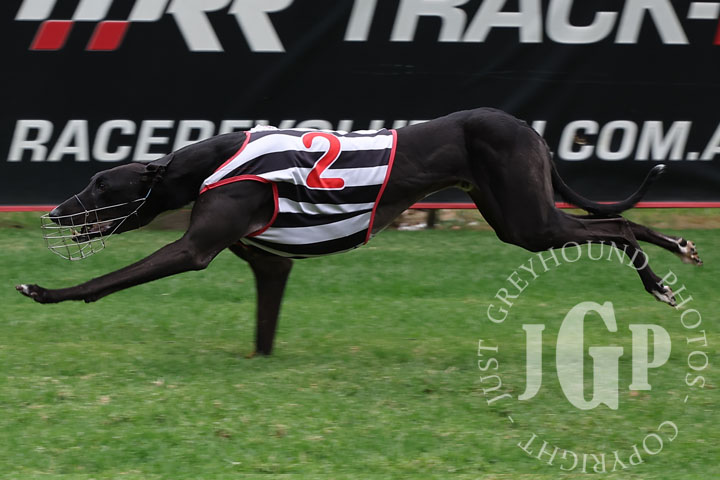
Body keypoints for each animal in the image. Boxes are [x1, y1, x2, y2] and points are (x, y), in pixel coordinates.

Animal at [16, 108, 702, 355]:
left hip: (528, 222)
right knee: (621, 219)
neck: (208, 161)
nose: (55, 212)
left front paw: (45, 293)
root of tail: (523, 126)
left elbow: (110, 278)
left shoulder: (192, 248)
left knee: (614, 226)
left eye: (100, 184)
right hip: (518, 215)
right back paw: (678, 256)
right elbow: (266, 312)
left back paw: (658, 282)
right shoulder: (266, 261)